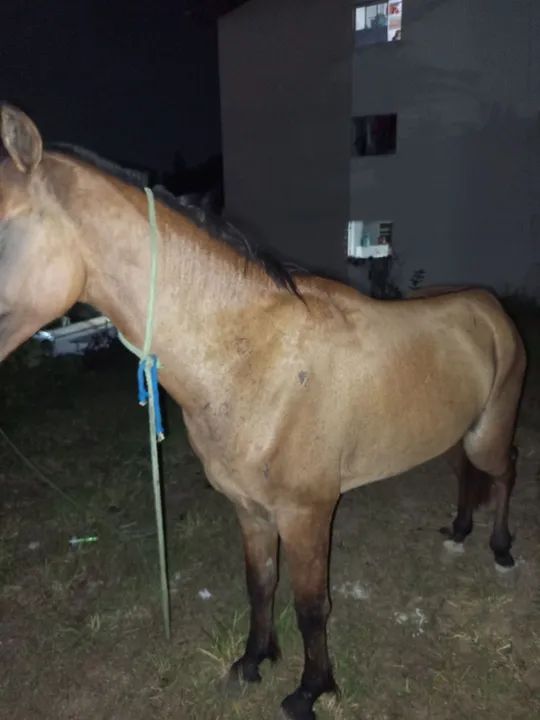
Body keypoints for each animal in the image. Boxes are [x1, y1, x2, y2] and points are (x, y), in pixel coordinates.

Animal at [0, 105, 526, 720]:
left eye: (3, 227)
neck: (251, 356)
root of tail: (489, 306)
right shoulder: (250, 510)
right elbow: (261, 586)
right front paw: (253, 661)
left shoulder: (307, 514)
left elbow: (311, 605)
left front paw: (310, 690)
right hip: (455, 433)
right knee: (467, 474)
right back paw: (461, 531)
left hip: (490, 431)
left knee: (504, 470)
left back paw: (500, 549)